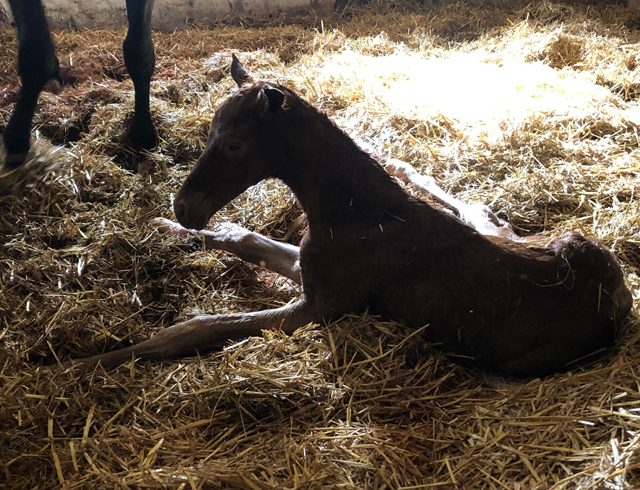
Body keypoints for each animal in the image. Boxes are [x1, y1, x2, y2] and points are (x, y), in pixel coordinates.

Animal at [65, 56, 632, 376]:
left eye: (233, 144)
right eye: (208, 133)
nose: (185, 208)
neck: (359, 213)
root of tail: (621, 294)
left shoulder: (321, 308)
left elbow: (194, 328)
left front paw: (76, 366)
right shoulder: (307, 271)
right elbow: (245, 239)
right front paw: (164, 228)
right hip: (535, 234)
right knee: (483, 212)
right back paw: (405, 165)